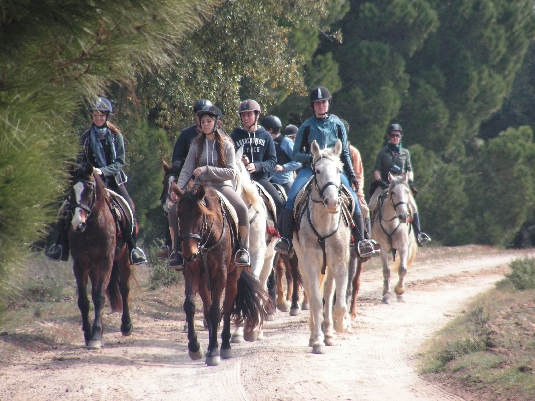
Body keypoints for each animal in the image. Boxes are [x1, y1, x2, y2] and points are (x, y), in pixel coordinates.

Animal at [68, 162, 134, 346]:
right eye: (71, 190)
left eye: (90, 189)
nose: (78, 224)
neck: (92, 228)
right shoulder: (80, 264)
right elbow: (84, 300)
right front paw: (88, 334)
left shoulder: (106, 261)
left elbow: (99, 296)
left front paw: (96, 336)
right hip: (93, 267)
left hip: (124, 259)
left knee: (124, 288)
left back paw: (126, 326)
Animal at [171, 183, 272, 364]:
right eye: (179, 214)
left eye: (200, 214)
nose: (189, 252)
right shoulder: (192, 271)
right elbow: (190, 305)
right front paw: (195, 347)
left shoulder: (221, 273)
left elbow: (216, 311)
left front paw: (213, 352)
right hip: (203, 280)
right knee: (207, 306)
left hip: (232, 277)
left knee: (227, 305)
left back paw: (224, 345)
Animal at [292, 139, 354, 352]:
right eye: (317, 171)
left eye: (339, 170)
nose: (333, 202)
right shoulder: (310, 263)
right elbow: (316, 301)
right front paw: (317, 341)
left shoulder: (340, 262)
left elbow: (338, 303)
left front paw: (340, 325)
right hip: (303, 264)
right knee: (313, 296)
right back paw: (315, 336)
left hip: (329, 267)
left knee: (328, 291)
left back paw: (329, 333)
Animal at [370, 173, 420, 302]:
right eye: (392, 192)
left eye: (407, 191)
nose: (403, 216)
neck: (391, 222)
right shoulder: (382, 248)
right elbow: (386, 271)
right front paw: (386, 294)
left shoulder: (403, 247)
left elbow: (402, 269)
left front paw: (399, 292)